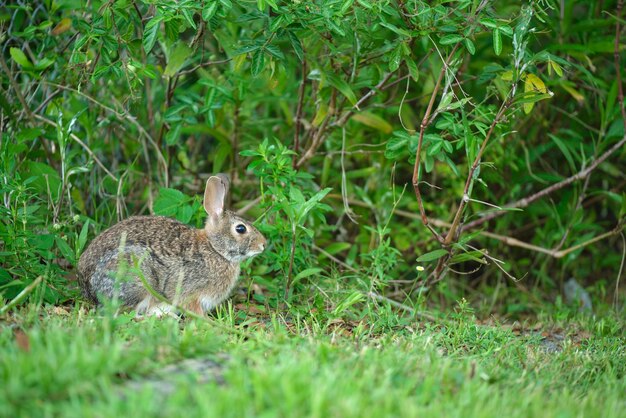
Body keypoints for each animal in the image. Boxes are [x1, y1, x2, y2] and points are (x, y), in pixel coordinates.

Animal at [76, 175, 266, 316]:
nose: (264, 244)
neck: (215, 249)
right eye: (240, 229)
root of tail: (87, 286)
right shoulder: (192, 294)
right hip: (137, 278)